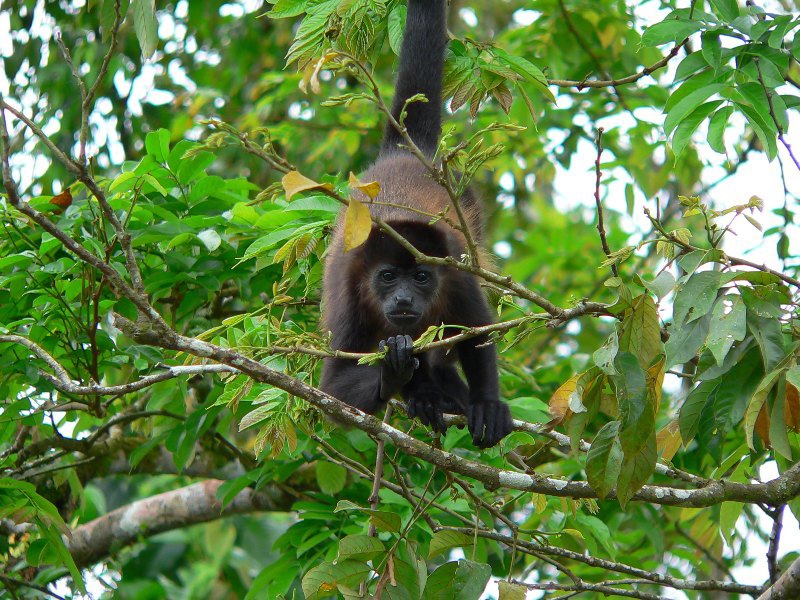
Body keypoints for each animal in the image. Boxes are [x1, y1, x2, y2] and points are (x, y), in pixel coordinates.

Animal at [318, 0, 512, 446]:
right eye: (388, 276)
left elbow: (478, 331)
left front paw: (487, 403)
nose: (404, 298)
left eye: (421, 277)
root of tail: (405, 151)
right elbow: (333, 390)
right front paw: (395, 373)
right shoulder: (350, 296)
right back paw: (423, 391)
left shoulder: (455, 270)